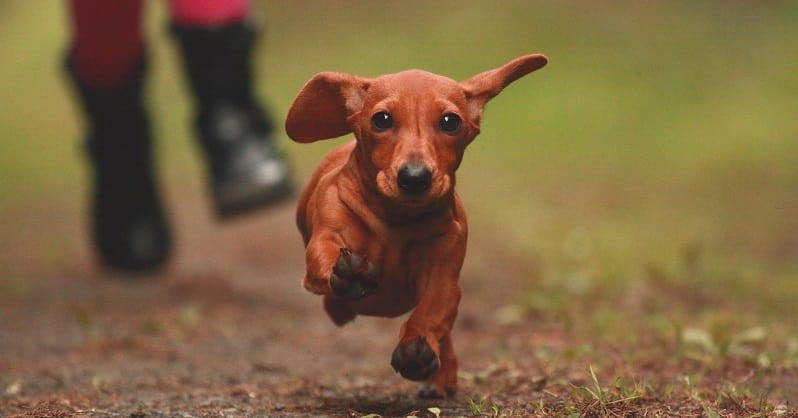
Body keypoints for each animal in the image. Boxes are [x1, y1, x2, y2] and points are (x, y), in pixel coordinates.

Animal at [286, 54, 552, 396]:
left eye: (450, 122)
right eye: (381, 119)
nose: (414, 178)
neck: (396, 220)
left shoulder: (443, 275)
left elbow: (432, 311)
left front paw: (417, 345)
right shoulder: (329, 232)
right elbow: (325, 254)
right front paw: (349, 273)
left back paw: (441, 377)